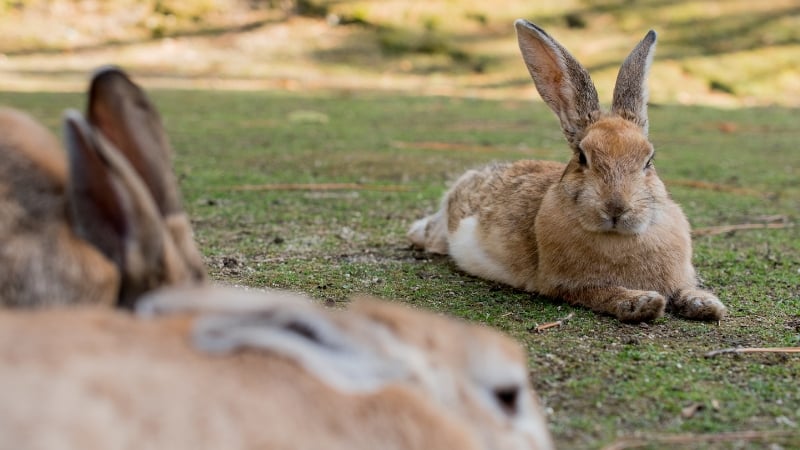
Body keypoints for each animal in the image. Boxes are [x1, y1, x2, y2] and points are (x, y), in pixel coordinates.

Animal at [410, 21, 728, 324]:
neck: (618, 236)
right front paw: (642, 303)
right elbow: (603, 293)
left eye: (648, 160)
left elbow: (684, 290)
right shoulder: (568, 286)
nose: (616, 207)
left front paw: (707, 305)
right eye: (582, 157)